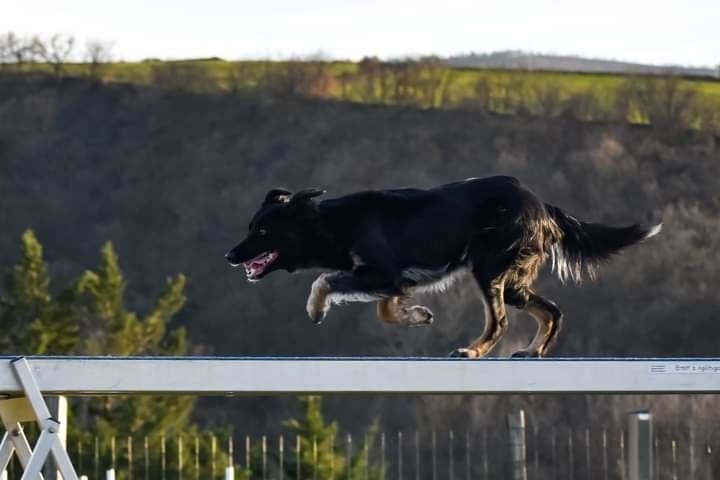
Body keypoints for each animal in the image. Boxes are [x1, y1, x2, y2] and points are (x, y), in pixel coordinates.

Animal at [224, 176, 660, 356]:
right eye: (251, 226)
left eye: (262, 230)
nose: (229, 255)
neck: (333, 223)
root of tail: (540, 204)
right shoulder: (396, 279)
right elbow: (386, 308)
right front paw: (415, 315)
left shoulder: (380, 272)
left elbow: (324, 280)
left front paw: (316, 309)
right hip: (512, 282)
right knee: (551, 310)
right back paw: (532, 351)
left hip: (488, 269)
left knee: (500, 322)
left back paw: (473, 351)